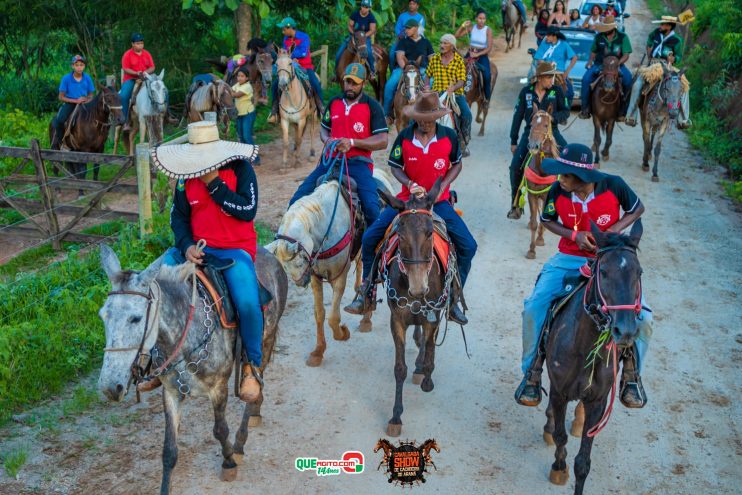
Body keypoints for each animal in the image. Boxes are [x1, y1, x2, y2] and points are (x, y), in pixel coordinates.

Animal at [96, 245, 288, 495]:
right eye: (103, 316)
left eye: (135, 319)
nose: (110, 387)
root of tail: (269, 253)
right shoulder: (171, 393)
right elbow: (169, 450)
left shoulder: (218, 389)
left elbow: (220, 430)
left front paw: (228, 462)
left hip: (266, 340)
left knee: (255, 379)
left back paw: (241, 439)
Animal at [380, 179, 450, 438]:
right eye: (400, 234)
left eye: (429, 233)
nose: (418, 288)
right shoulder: (397, 321)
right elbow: (400, 368)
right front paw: (396, 416)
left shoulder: (433, 315)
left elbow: (430, 348)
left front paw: (427, 379)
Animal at [540, 222, 644, 495]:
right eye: (604, 272)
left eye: (639, 273)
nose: (625, 331)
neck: (584, 347)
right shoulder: (559, 393)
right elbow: (560, 436)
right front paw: (558, 468)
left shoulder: (598, 401)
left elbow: (583, 462)